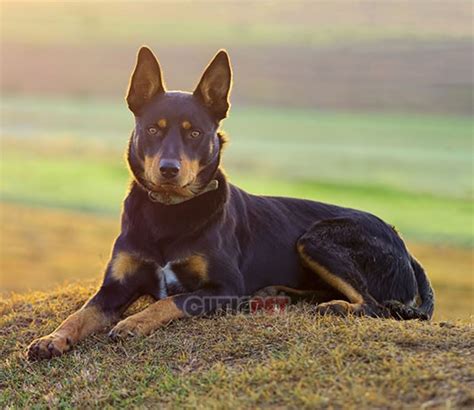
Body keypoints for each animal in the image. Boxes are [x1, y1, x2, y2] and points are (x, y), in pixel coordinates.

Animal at [25, 45, 434, 358]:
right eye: (153, 129)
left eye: (194, 133)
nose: (169, 169)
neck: (168, 212)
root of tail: (405, 247)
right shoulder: (115, 287)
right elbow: (81, 313)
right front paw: (52, 338)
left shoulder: (224, 288)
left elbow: (171, 300)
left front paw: (133, 322)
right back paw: (276, 294)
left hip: (317, 237)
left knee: (376, 307)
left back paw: (332, 306)